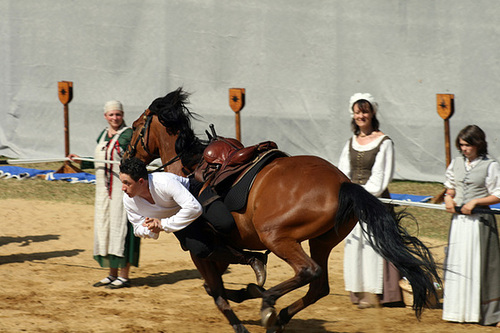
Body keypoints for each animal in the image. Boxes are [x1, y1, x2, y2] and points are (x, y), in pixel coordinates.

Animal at [126, 87, 442, 330]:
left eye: (139, 124)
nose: (126, 154)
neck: (190, 169)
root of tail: (343, 185)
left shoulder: (199, 248)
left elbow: (216, 290)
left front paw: (251, 294)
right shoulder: (221, 247)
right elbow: (226, 274)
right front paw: (251, 285)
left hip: (277, 236)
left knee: (308, 271)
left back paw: (270, 306)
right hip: (321, 241)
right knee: (319, 286)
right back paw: (280, 315)